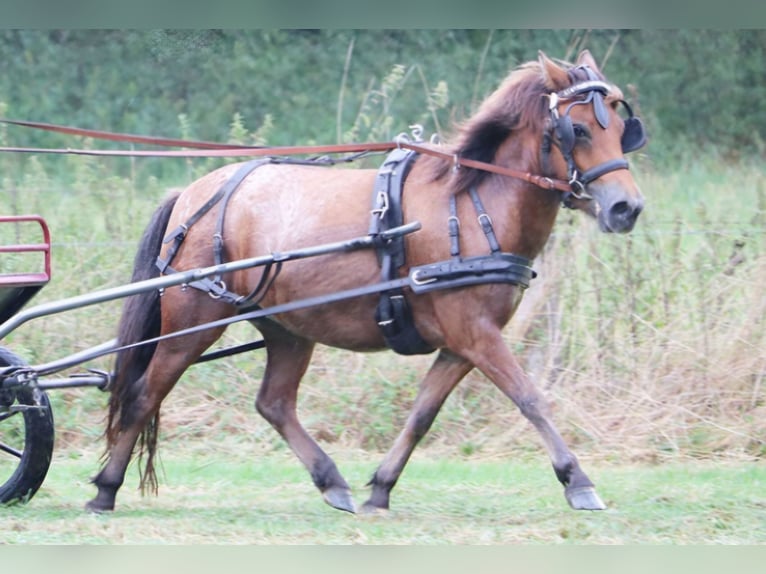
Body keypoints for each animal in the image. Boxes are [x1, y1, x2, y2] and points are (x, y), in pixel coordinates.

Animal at [85, 50, 648, 516]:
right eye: (578, 130)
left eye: (622, 129)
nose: (627, 208)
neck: (471, 204)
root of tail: (193, 194)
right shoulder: (476, 334)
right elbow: (530, 398)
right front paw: (578, 481)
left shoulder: (461, 343)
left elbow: (422, 414)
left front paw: (381, 487)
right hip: (194, 320)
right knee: (143, 393)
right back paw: (106, 489)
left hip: (287, 327)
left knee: (274, 403)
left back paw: (331, 481)